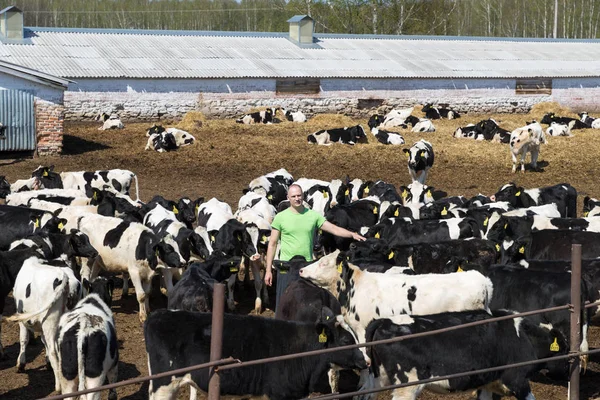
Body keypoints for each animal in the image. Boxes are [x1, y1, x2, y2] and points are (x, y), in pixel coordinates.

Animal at [366, 310, 568, 398]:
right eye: (565, 350)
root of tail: (384, 321)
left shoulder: (487, 383)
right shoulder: (517, 381)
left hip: (377, 379)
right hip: (406, 386)